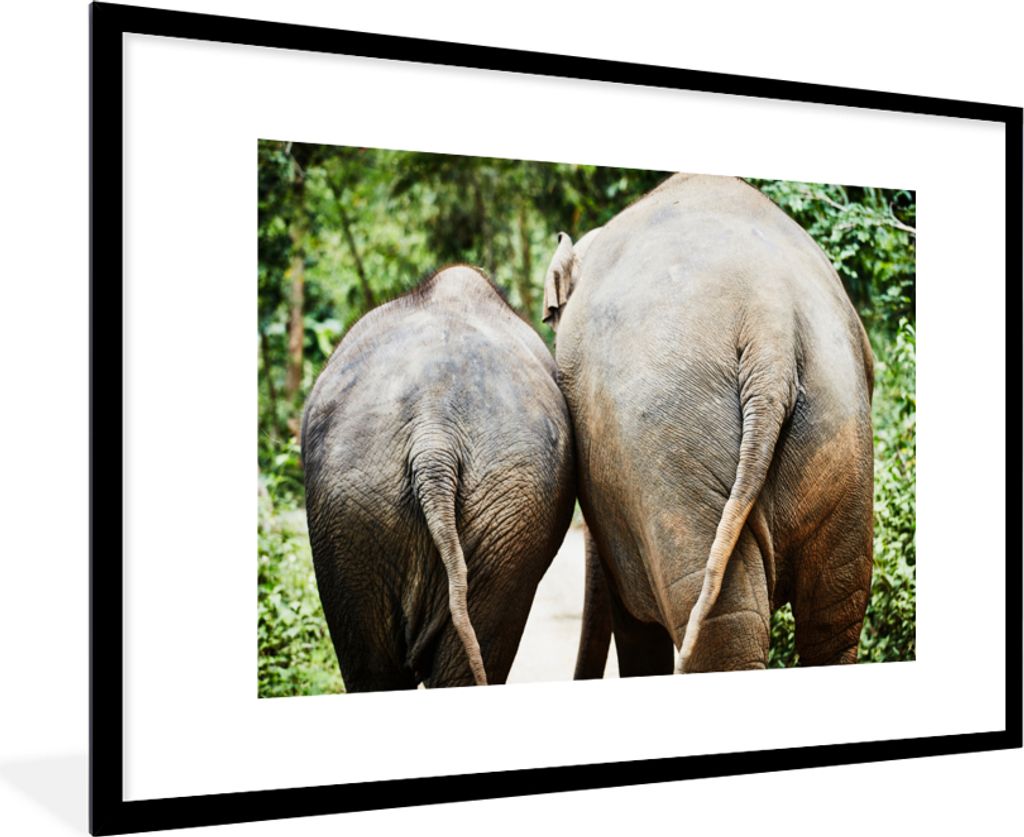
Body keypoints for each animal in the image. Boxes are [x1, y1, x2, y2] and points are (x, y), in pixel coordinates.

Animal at [543, 173, 874, 675]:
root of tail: (769, 327)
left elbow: (636, 629)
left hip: (671, 450)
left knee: (722, 633)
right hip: (840, 430)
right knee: (834, 620)